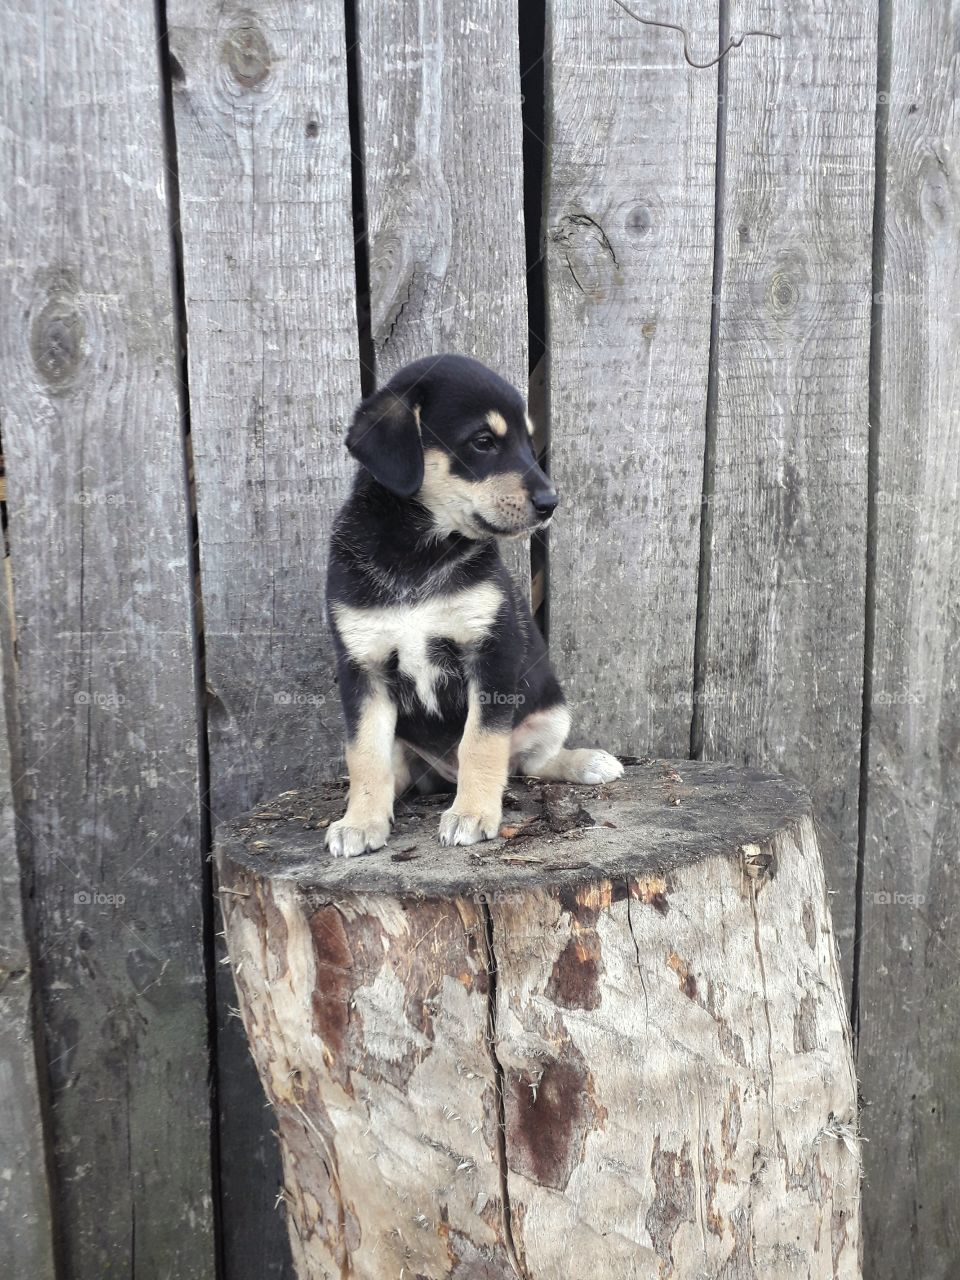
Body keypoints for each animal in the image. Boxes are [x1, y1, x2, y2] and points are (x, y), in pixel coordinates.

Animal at [323, 355, 624, 855]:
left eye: (527, 442)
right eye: (483, 442)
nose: (551, 503)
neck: (418, 553)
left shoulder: (491, 653)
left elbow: (480, 743)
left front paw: (472, 813)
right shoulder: (363, 667)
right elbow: (364, 754)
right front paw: (360, 822)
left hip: (552, 708)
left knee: (529, 762)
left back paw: (588, 763)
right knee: (399, 773)